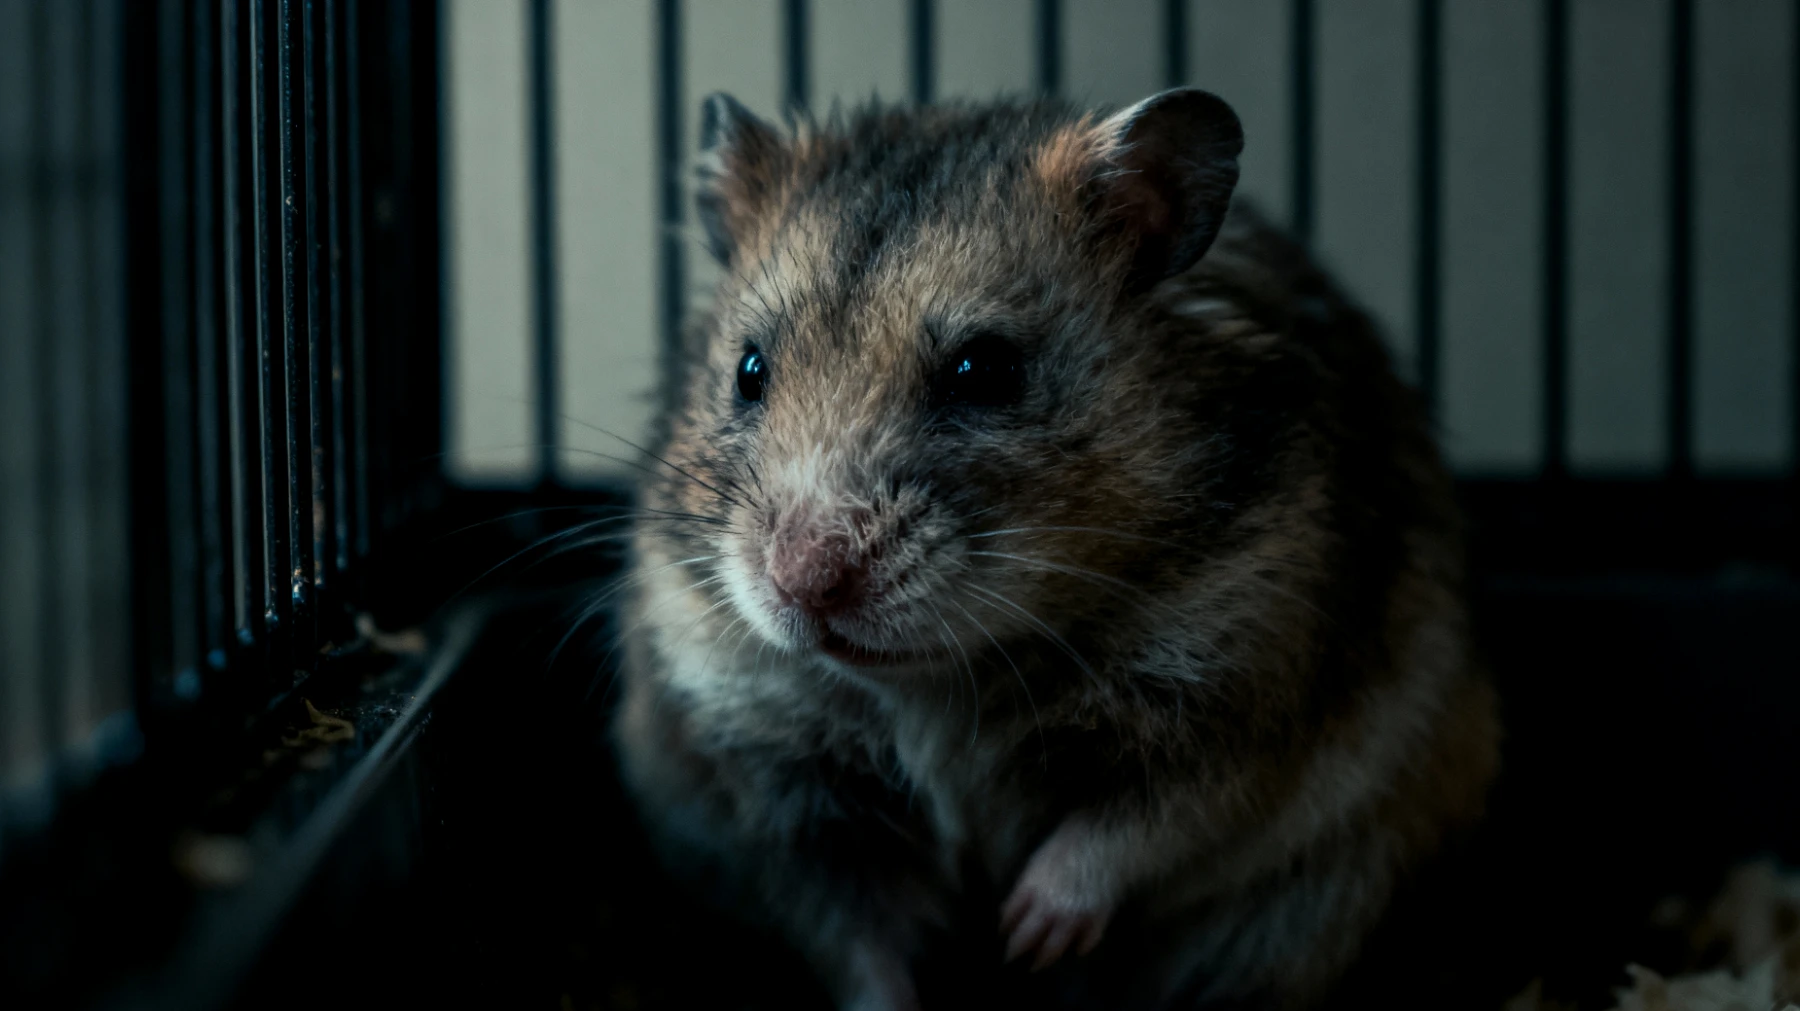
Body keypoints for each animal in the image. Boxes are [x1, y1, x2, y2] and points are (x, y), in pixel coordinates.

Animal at [609, 87, 1499, 1011]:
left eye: (983, 370)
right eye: (749, 371)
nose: (804, 583)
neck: (938, 681)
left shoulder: (1249, 688)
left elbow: (1137, 826)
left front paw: (1026, 935)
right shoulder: (782, 784)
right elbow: (857, 940)